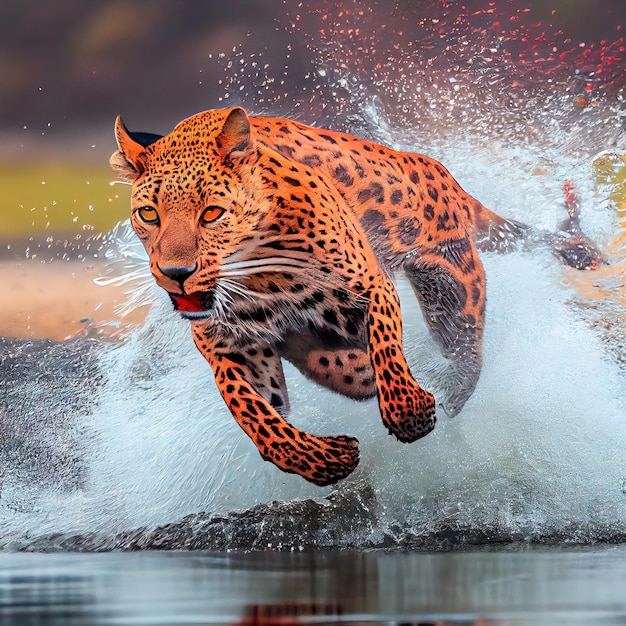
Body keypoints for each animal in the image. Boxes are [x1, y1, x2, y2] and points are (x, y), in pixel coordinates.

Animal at [109, 105, 604, 482]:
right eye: (149, 214)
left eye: (211, 213)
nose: (176, 274)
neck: (257, 273)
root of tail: (440, 173)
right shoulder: (231, 347)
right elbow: (256, 415)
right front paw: (323, 460)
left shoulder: (370, 287)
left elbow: (386, 347)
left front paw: (411, 414)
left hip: (452, 286)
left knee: (466, 354)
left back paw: (449, 391)